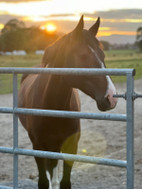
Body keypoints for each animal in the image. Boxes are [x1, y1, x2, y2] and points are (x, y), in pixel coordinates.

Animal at [18, 16, 117, 189]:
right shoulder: (37, 147)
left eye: (103, 55)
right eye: (83, 56)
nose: (111, 97)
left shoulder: (71, 147)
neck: (52, 106)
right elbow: (43, 181)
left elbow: (64, 182)